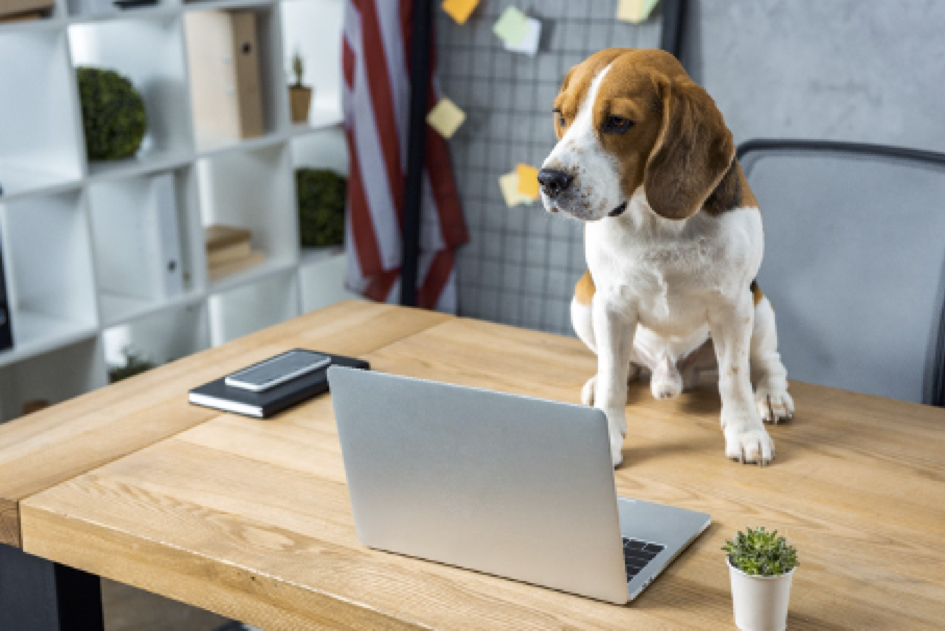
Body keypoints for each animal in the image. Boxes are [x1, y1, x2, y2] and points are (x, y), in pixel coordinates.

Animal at [540, 49, 788, 470]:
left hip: (759, 306)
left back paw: (771, 395)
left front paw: (745, 432)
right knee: (618, 366)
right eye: (562, 115)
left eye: (618, 122)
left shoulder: (733, 306)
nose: (548, 180)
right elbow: (613, 382)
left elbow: (734, 378)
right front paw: (605, 436)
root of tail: (669, 374)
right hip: (583, 298)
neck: (653, 219)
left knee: (768, 362)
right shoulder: (611, 306)